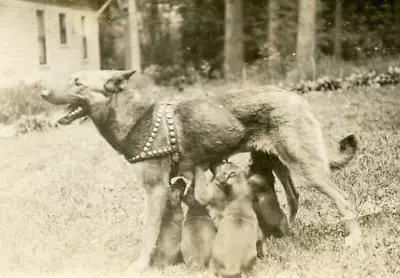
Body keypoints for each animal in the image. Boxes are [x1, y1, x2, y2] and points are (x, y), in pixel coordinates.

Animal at [42, 70, 360, 272]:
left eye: (77, 82)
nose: (42, 91)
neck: (136, 119)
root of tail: (296, 96)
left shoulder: (155, 191)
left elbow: (148, 235)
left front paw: (140, 266)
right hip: (283, 164)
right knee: (294, 198)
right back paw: (285, 232)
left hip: (307, 168)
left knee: (343, 200)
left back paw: (353, 238)